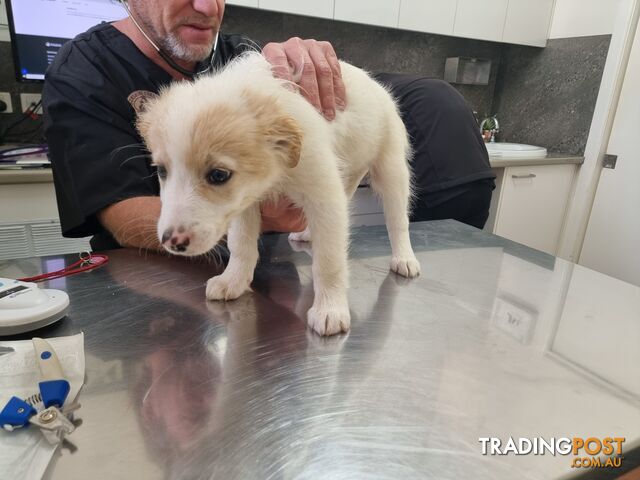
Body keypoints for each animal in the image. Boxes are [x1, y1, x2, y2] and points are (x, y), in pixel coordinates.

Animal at [135, 52, 420, 336]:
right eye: (161, 170)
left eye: (218, 175)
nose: (172, 242)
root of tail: (373, 82)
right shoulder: (246, 202)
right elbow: (241, 244)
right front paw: (233, 280)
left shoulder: (324, 194)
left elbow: (329, 260)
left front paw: (330, 309)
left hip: (391, 170)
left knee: (397, 221)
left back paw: (404, 258)